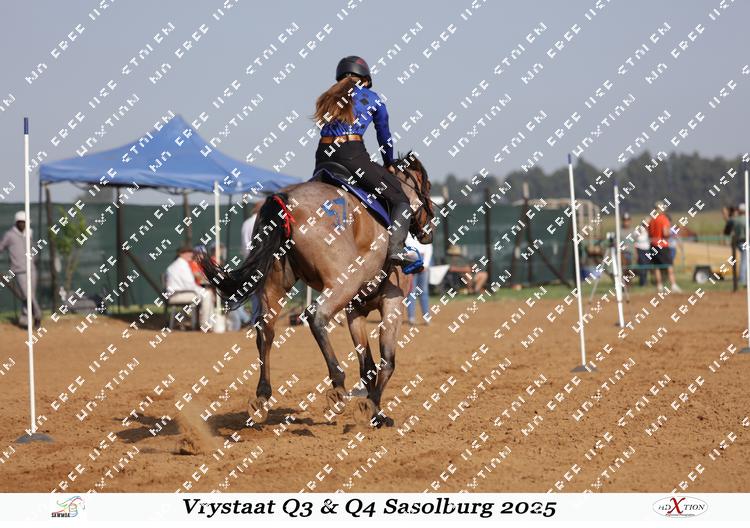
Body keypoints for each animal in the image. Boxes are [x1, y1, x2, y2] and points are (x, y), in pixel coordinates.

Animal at [199, 151, 434, 427]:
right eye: (427, 185)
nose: (429, 227)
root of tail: (284, 200)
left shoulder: (354, 311)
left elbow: (367, 366)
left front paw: (374, 412)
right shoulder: (392, 303)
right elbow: (387, 361)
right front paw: (373, 408)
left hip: (274, 286)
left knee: (265, 330)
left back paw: (262, 396)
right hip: (342, 283)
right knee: (315, 316)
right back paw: (337, 386)